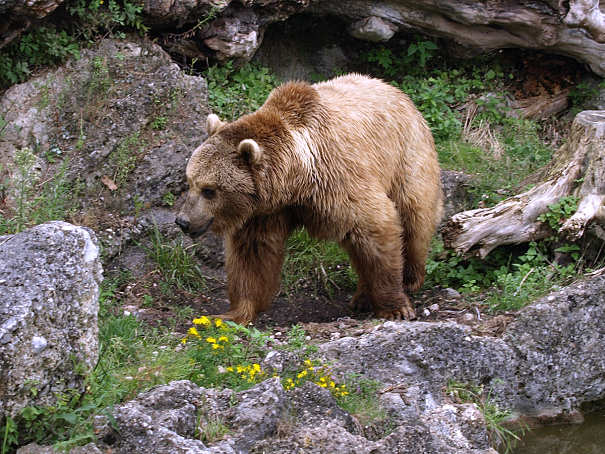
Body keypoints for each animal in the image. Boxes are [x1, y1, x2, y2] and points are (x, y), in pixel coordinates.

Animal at [177, 73, 442, 322]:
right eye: (190, 181)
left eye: (209, 189)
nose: (183, 221)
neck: (296, 180)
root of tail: (399, 92)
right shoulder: (264, 210)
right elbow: (252, 255)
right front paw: (234, 313)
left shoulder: (338, 180)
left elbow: (376, 225)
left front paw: (396, 308)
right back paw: (363, 297)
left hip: (407, 157)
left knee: (414, 217)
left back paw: (409, 278)